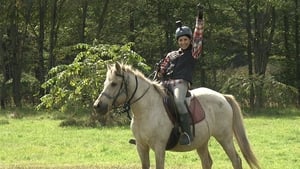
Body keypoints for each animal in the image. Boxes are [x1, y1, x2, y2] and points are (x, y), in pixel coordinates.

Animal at [94, 62, 260, 169]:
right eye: (105, 83)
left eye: (114, 84)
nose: (98, 106)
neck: (147, 110)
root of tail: (223, 97)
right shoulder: (141, 147)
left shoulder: (159, 147)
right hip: (202, 141)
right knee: (207, 162)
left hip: (224, 138)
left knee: (236, 160)